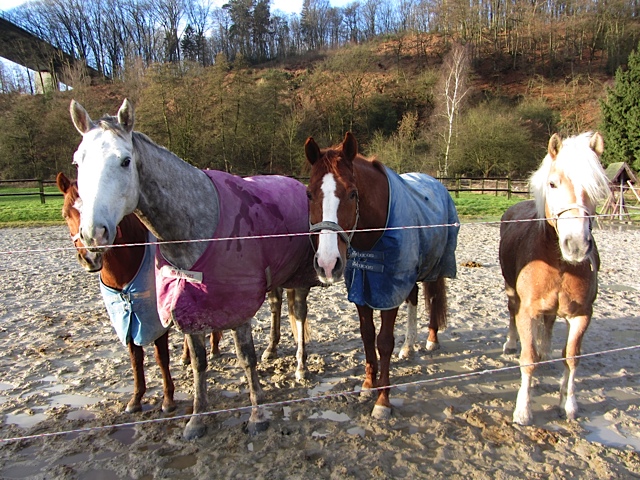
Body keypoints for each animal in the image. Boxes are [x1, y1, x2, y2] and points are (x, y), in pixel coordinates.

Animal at [70, 99, 318, 440]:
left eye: (125, 161)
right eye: (78, 162)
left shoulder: (236, 307)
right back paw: (272, 349)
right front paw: (197, 419)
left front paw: (257, 415)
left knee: (300, 315)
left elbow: (246, 358)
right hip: (276, 278)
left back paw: (300, 367)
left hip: (300, 279)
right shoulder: (188, 307)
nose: (93, 236)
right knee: (278, 306)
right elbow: (200, 364)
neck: (195, 226)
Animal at [306, 133, 460, 418]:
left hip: (436, 265)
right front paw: (368, 385)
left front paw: (382, 401)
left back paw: (431, 340)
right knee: (414, 297)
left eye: (353, 193)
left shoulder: (389, 290)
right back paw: (408, 347)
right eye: (309, 193)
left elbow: (384, 342)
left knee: (433, 297)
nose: (327, 264)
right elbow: (367, 336)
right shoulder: (361, 291)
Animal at [500, 130, 608, 424]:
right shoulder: (527, 312)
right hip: (512, 293)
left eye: (597, 186)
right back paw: (511, 344)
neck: (558, 263)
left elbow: (571, 357)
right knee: (513, 316)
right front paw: (522, 411)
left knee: (547, 326)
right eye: (553, 184)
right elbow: (528, 358)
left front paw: (568, 405)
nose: (577, 245)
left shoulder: (582, 314)